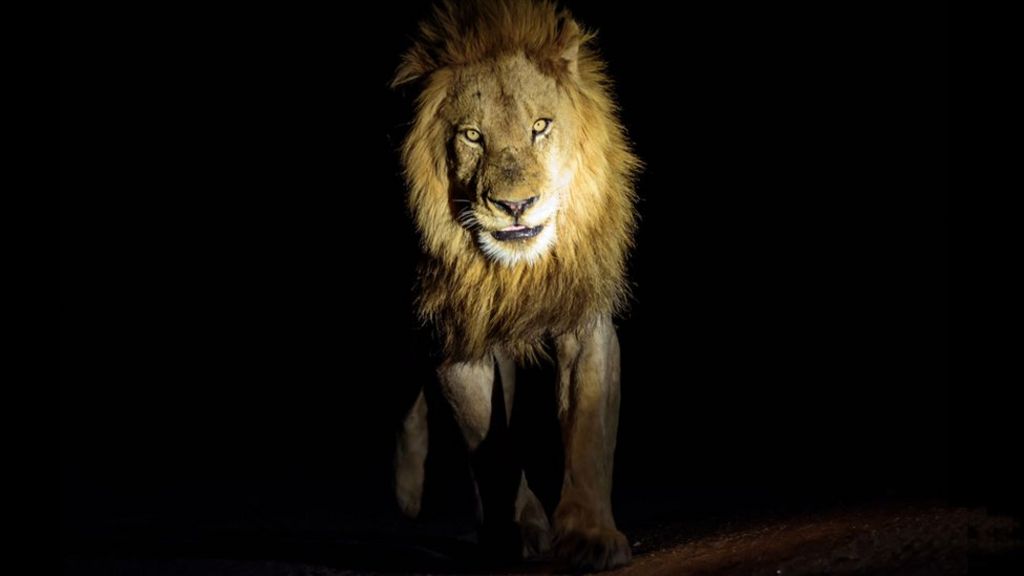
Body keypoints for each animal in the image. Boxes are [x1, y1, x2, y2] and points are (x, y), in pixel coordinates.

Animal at [392, 0, 639, 571]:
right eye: (472, 136)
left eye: (540, 126)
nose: (515, 206)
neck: (516, 270)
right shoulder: (456, 335)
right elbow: (493, 447)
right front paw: (523, 531)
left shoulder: (583, 316)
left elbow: (588, 434)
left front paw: (589, 536)